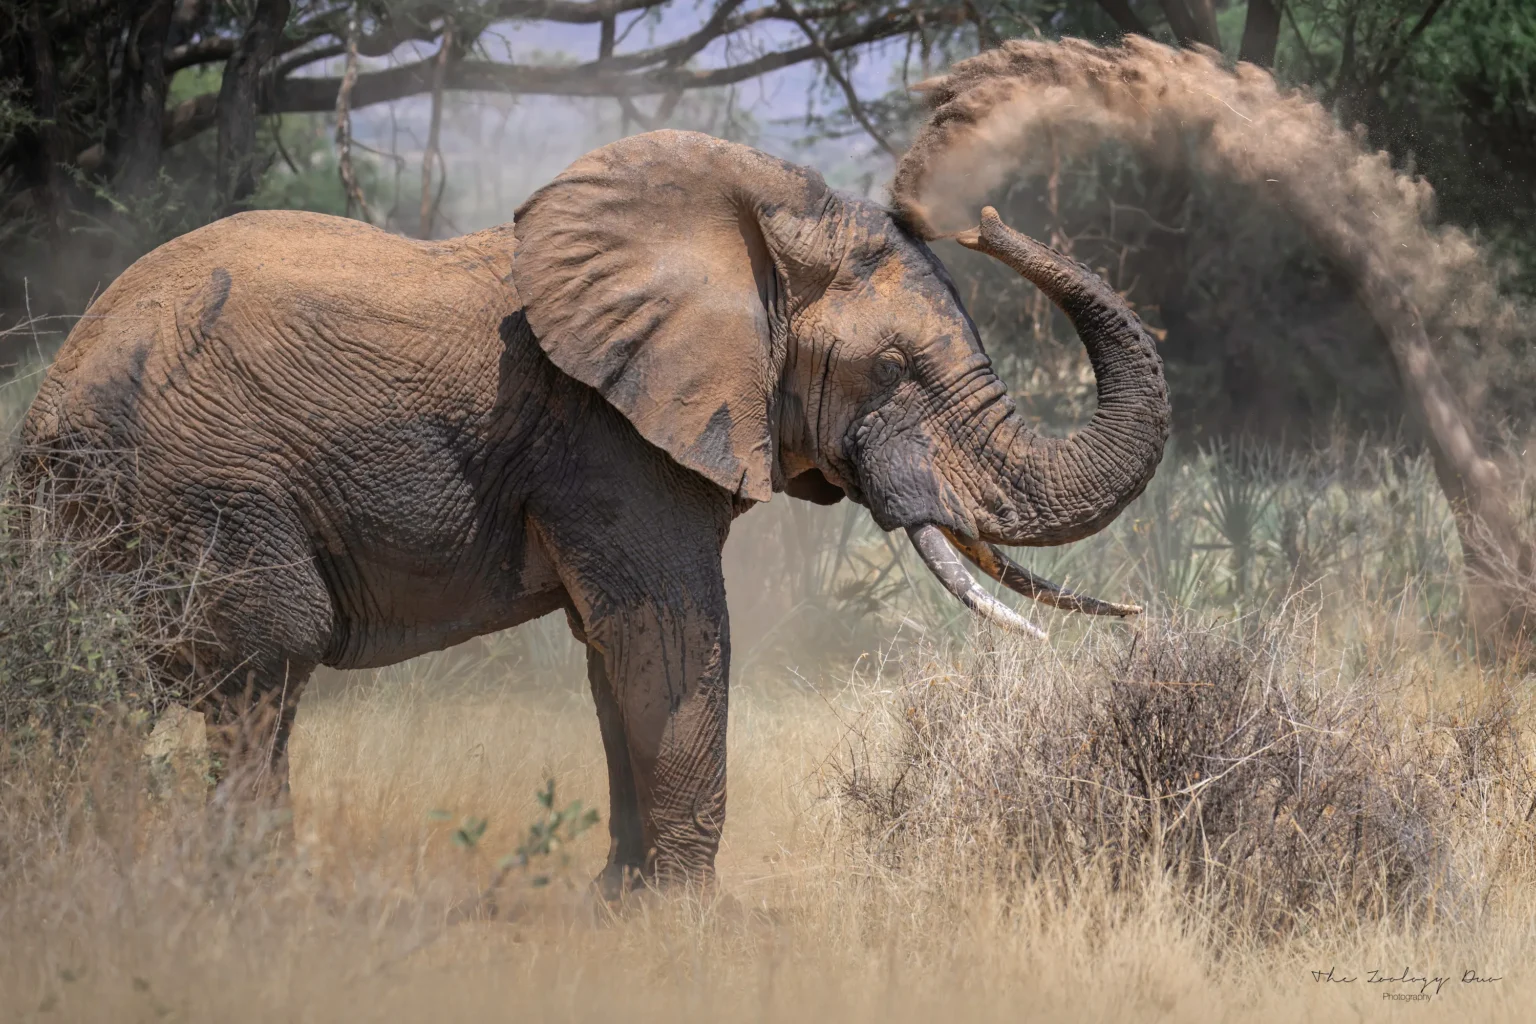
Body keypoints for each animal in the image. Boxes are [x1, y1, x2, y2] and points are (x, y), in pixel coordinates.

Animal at [19, 130, 1169, 893]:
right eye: (893, 370)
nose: (984, 219)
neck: (748, 227)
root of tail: (51, 393)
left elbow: (615, 652)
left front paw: (623, 902)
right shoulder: (606, 433)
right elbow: (670, 632)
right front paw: (688, 918)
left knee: (115, 680)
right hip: (206, 482)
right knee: (263, 660)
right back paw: (250, 892)